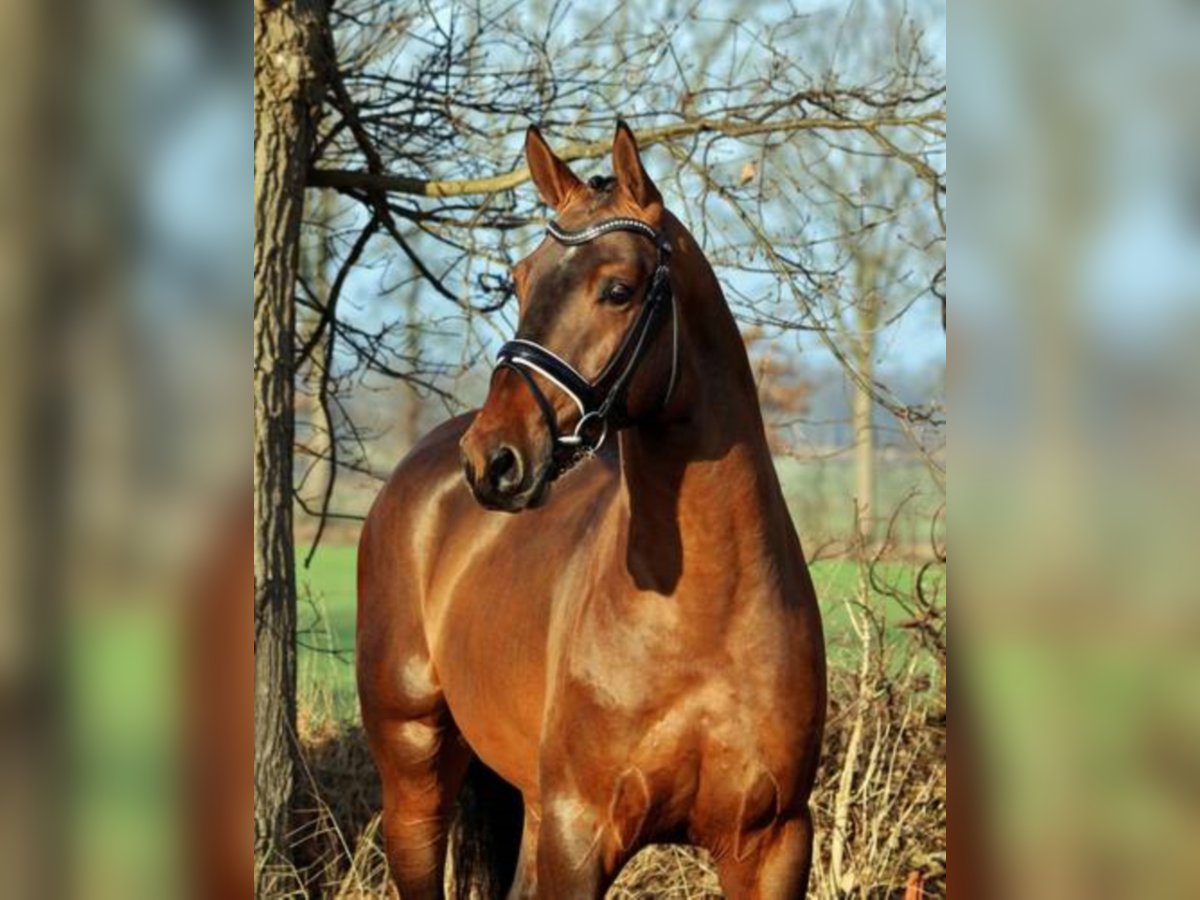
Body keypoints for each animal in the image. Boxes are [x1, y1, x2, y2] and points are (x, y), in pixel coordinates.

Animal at [355, 121, 825, 900]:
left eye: (618, 289)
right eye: (520, 279)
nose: (495, 459)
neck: (704, 608)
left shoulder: (773, 845)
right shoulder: (580, 835)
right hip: (414, 772)